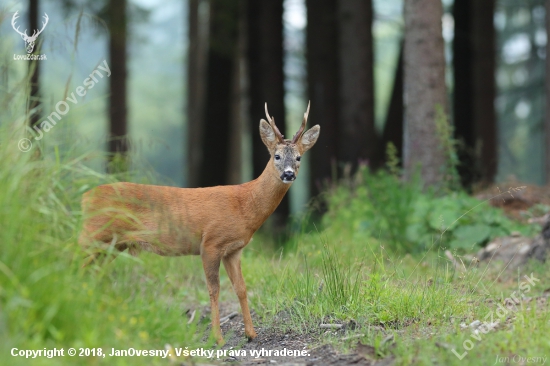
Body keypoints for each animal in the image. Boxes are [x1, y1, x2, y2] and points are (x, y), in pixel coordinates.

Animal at [77, 102, 320, 344]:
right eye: (276, 156)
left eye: (299, 157)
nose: (288, 174)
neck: (244, 205)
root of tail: (85, 198)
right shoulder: (210, 243)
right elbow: (214, 289)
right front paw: (218, 337)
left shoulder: (234, 250)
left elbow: (241, 288)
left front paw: (251, 333)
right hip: (93, 235)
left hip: (112, 245)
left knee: (92, 272)